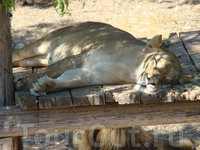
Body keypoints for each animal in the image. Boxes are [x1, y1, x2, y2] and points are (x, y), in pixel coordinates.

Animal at [12, 21, 194, 150]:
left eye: (167, 79)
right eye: (156, 61)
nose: (151, 82)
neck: (130, 67)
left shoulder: (88, 75)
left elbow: (63, 81)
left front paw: (43, 86)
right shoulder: (78, 58)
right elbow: (51, 70)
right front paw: (25, 81)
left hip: (40, 58)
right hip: (43, 44)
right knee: (16, 54)